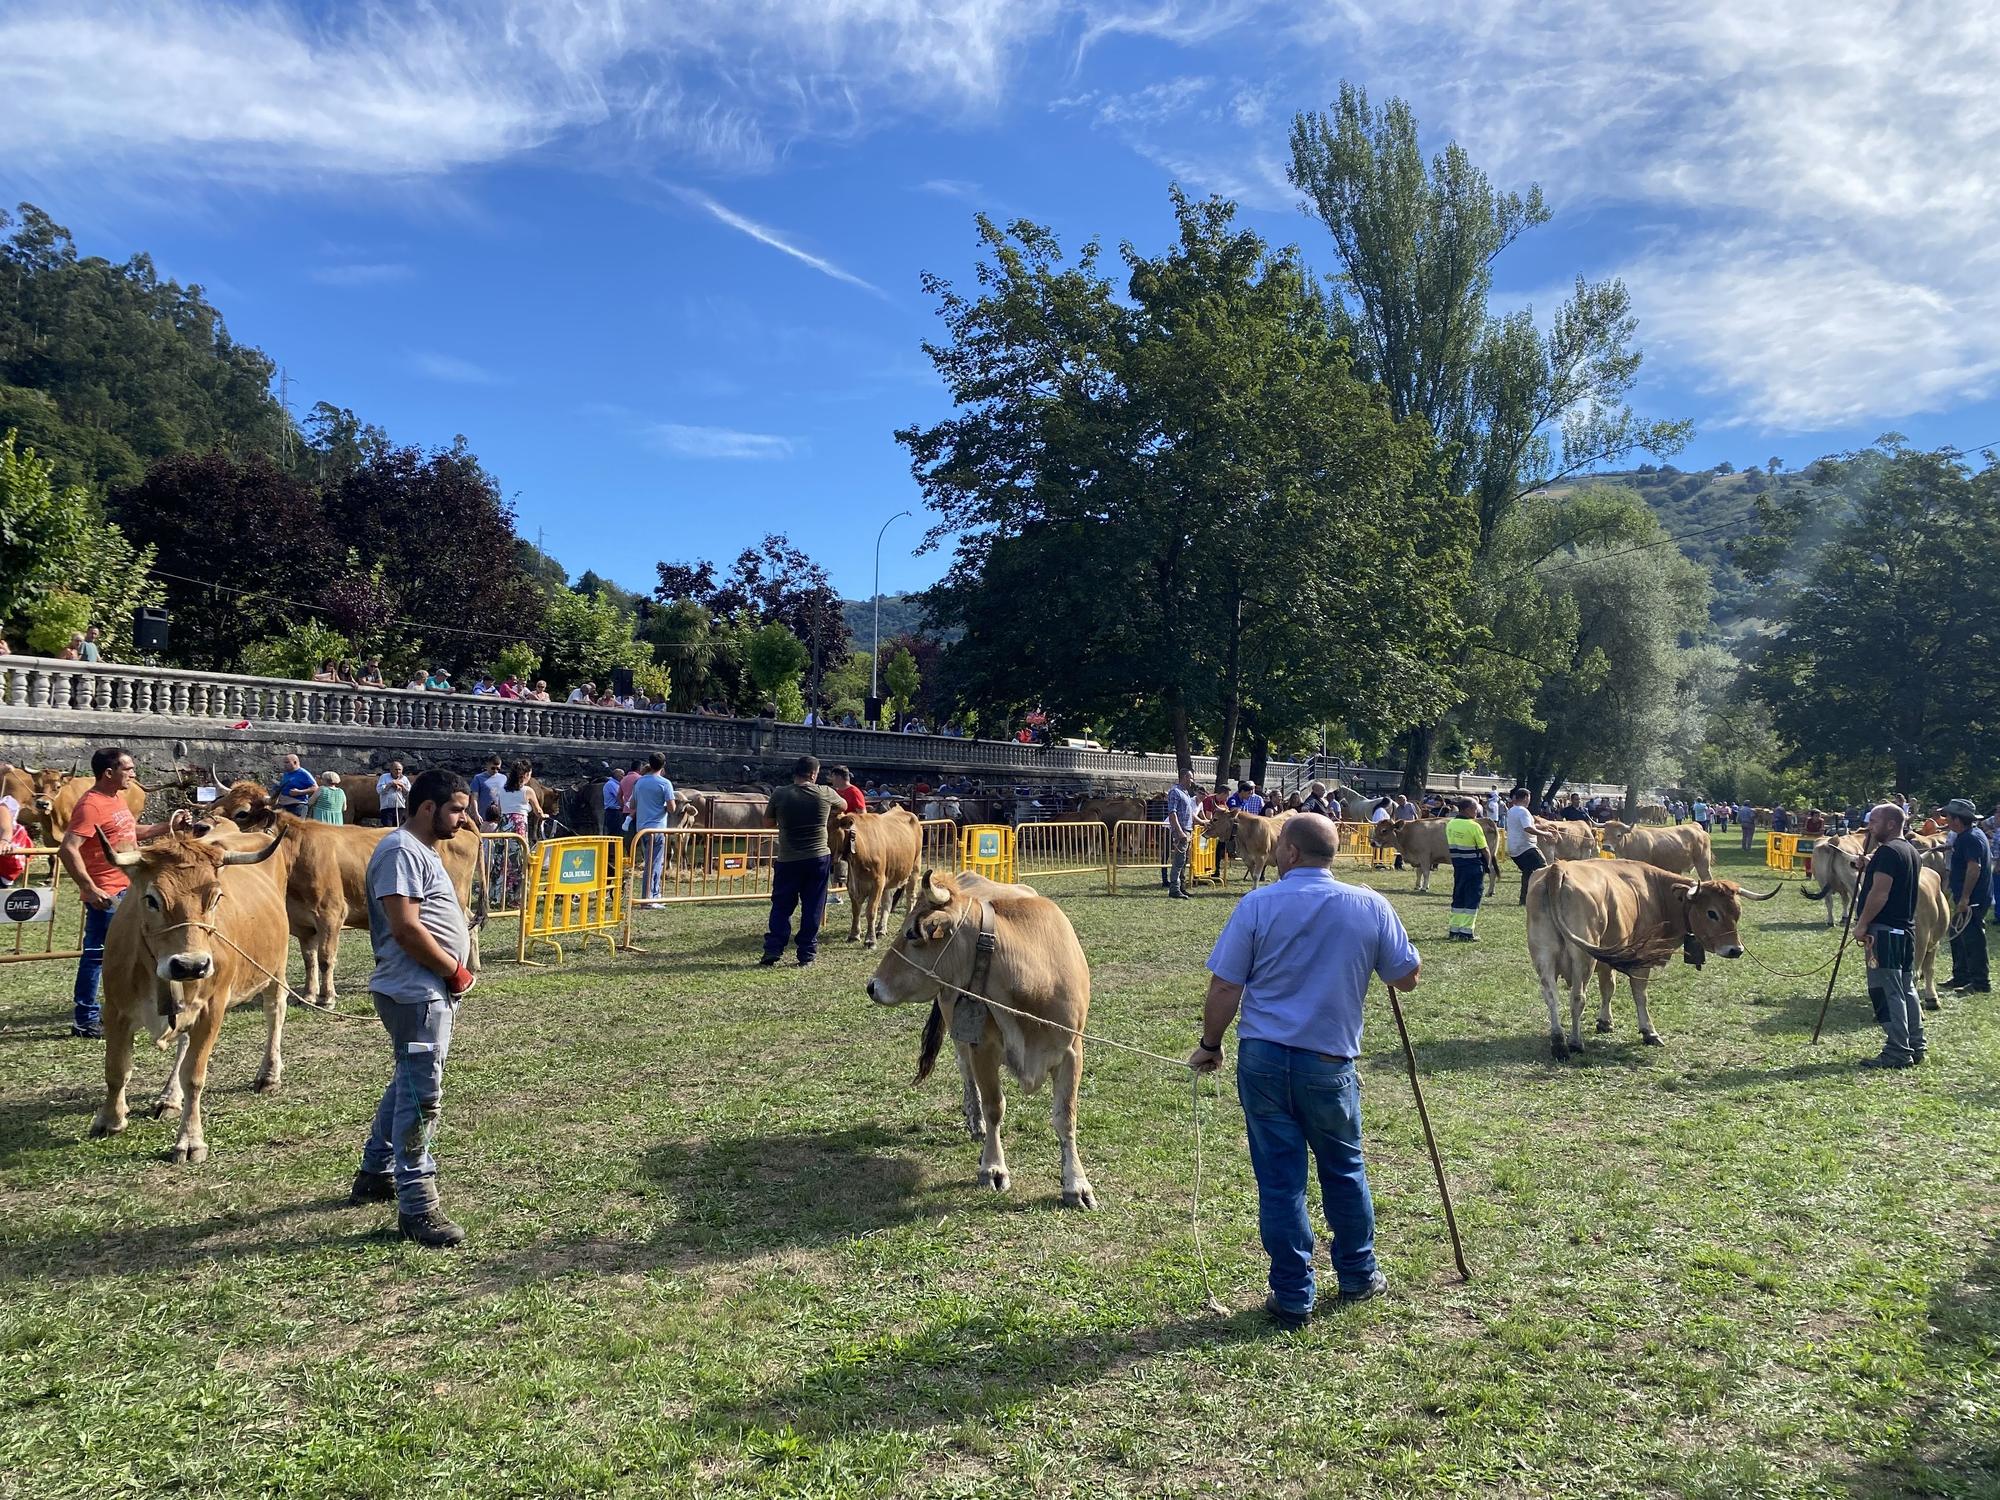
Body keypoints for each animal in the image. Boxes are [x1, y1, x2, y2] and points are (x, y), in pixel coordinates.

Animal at [87, 836, 292, 1160]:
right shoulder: (116, 1008)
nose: (191, 965)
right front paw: (110, 1120)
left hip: (274, 968)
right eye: (151, 899)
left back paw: (269, 1074)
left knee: (275, 1011)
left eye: (216, 897)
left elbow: (194, 1076)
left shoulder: (212, 1010)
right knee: (182, 1041)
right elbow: (116, 1069)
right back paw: (170, 1097)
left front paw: (190, 1139)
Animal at [832, 812, 924, 952]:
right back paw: (881, 929)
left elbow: (870, 911)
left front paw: (870, 940)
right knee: (887, 903)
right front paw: (854, 935)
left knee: (910, 898)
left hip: (914, 869)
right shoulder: (852, 885)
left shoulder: (877, 882)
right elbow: (856, 911)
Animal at [864, 868, 1104, 1208]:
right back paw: (974, 1120)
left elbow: (1065, 1117)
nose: (872, 986)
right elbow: (994, 1107)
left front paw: (1076, 1183)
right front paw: (992, 1167)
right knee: (966, 1071)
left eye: (911, 933)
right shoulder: (984, 1047)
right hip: (957, 1026)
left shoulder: (1072, 1050)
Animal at [1528, 864, 1784, 1064]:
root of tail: (1558, 869)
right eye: (1712, 913)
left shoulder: (1607, 957)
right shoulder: (1639, 961)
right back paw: (1574, 1042)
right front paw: (1648, 1032)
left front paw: (1605, 1022)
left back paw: (1558, 1041)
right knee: (1577, 998)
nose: (1735, 950)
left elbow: (1608, 988)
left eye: (1737, 913)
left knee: (1551, 997)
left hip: (1544, 956)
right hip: (1582, 959)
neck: (1655, 891)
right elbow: (1640, 995)